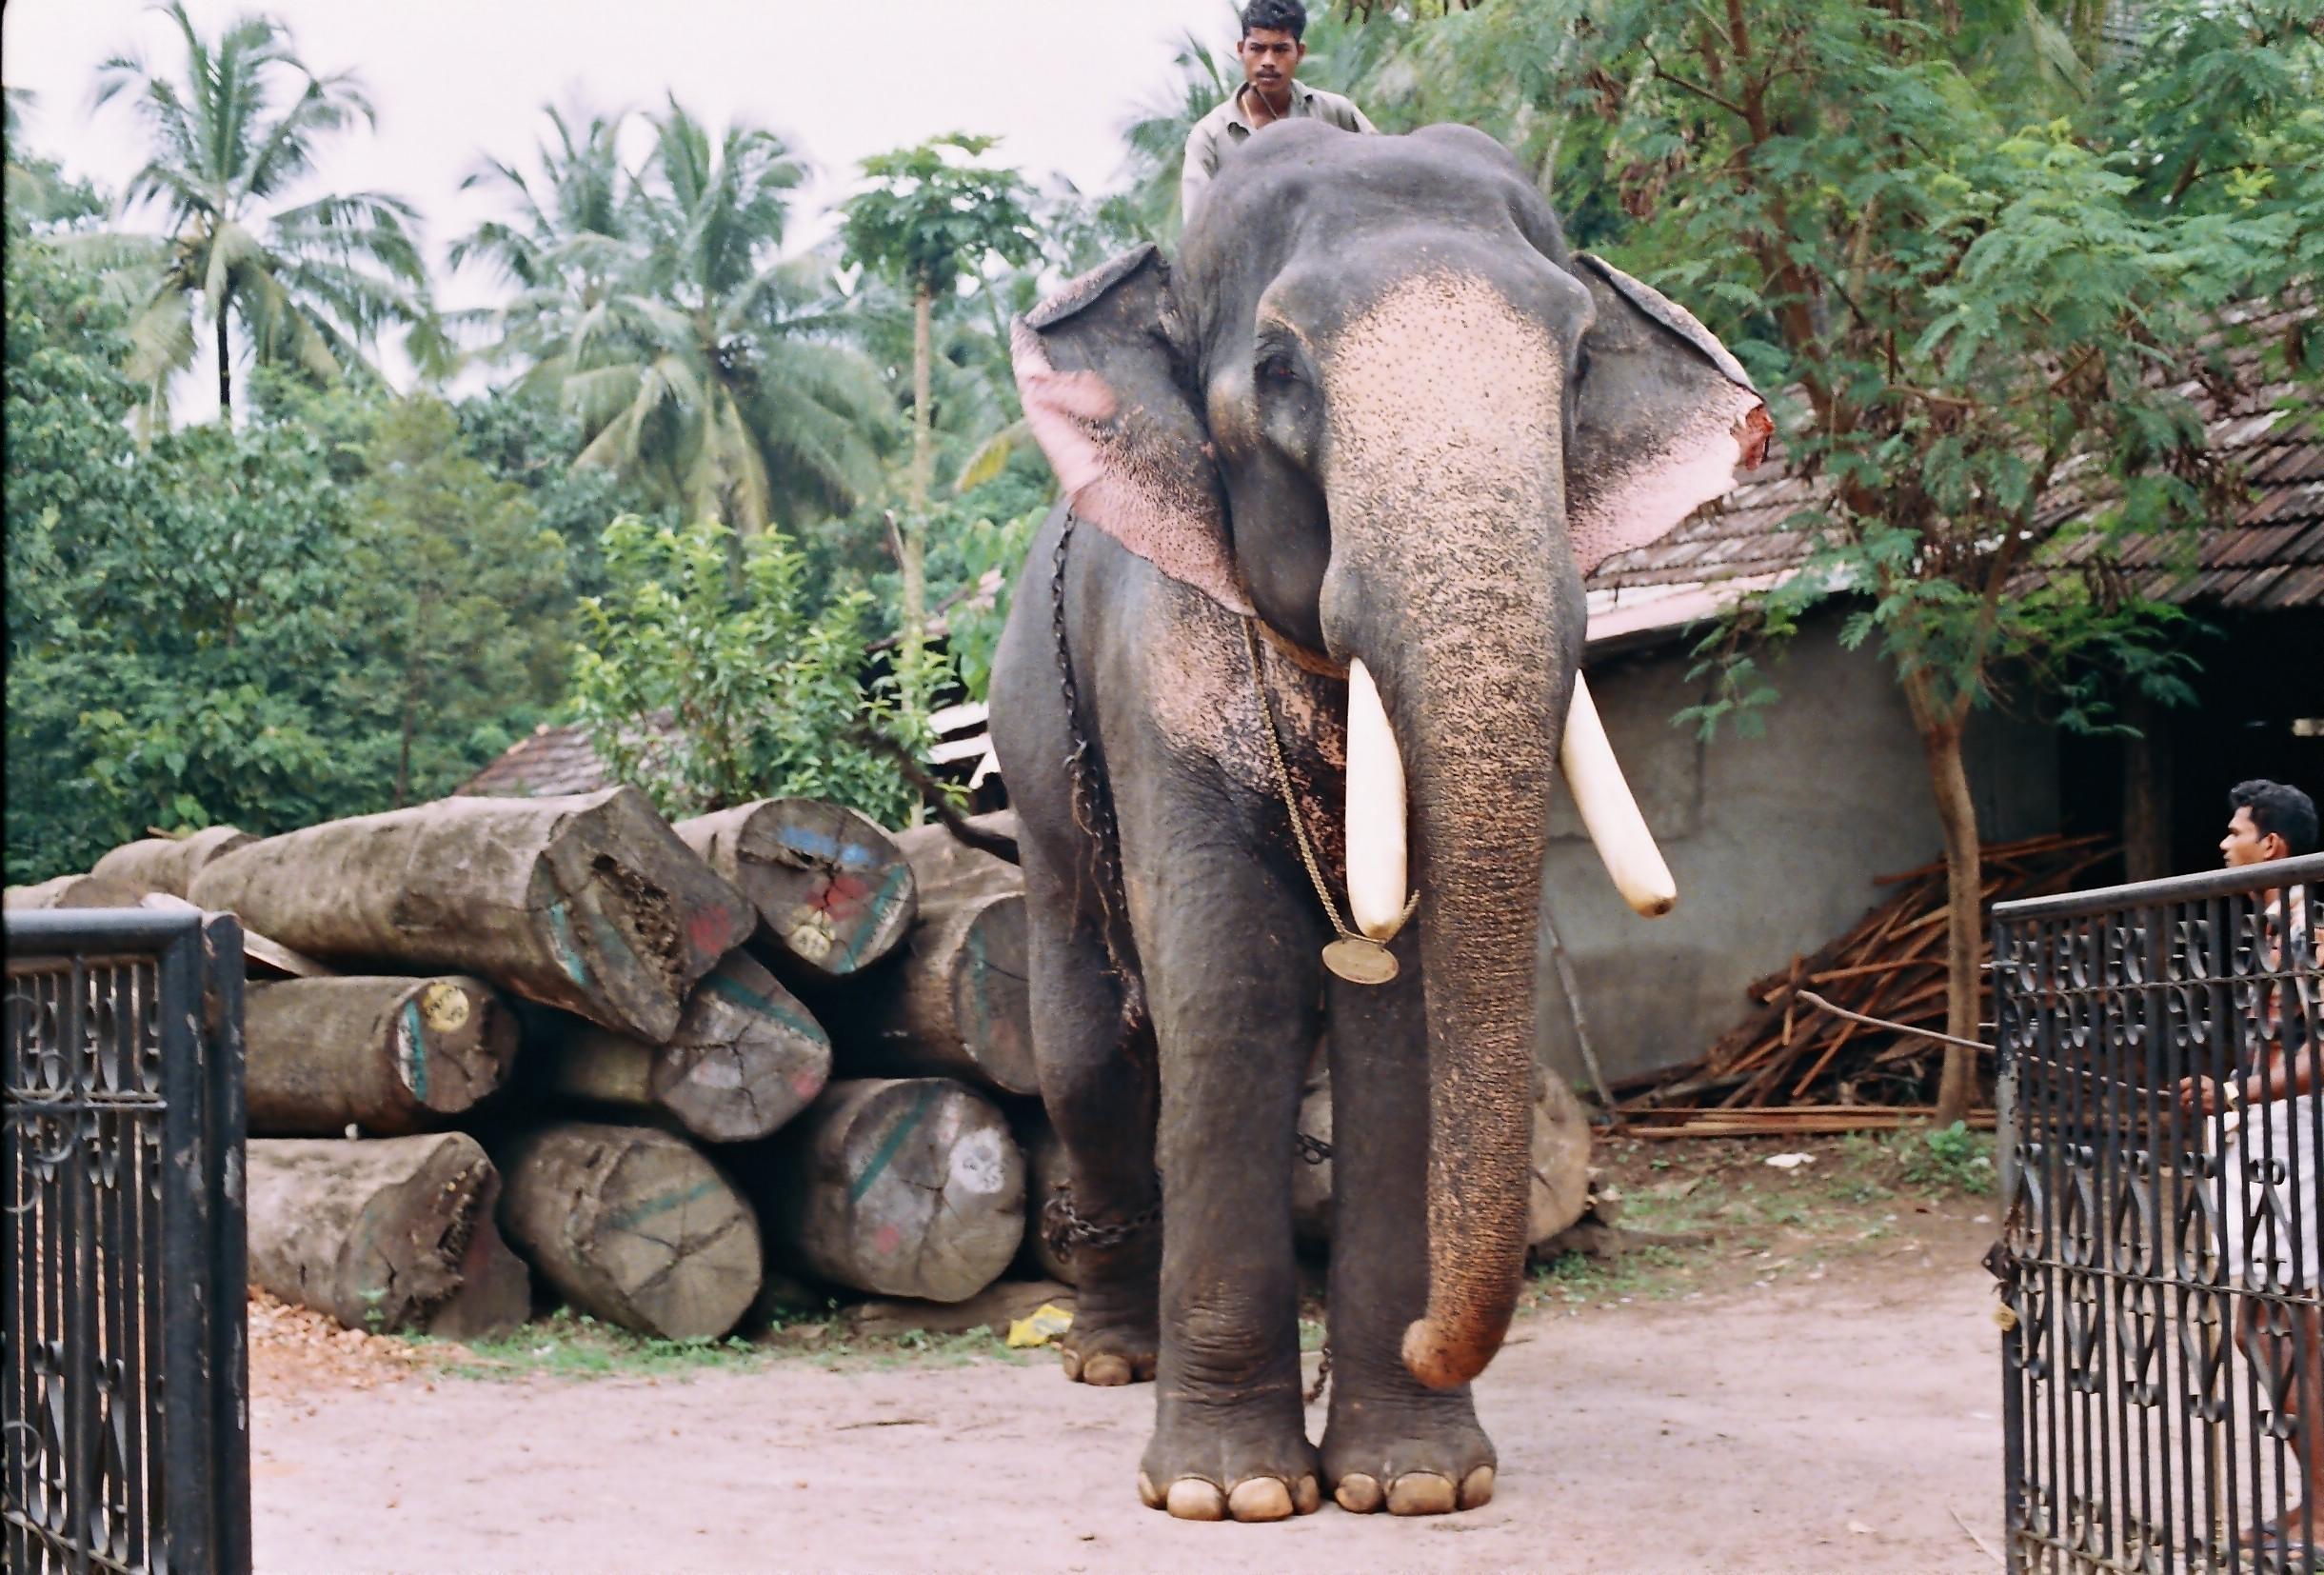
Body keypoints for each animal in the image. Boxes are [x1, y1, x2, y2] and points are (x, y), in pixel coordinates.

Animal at [984, 123, 1775, 1533]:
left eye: (1578, 363)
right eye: (1278, 371)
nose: (1430, 1335)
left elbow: (1398, 1018)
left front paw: (1413, 1481)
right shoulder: (1158, 664)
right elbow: (1229, 985)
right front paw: (1229, 1493)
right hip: (1035, 730)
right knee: (1086, 1043)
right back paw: (1108, 1356)